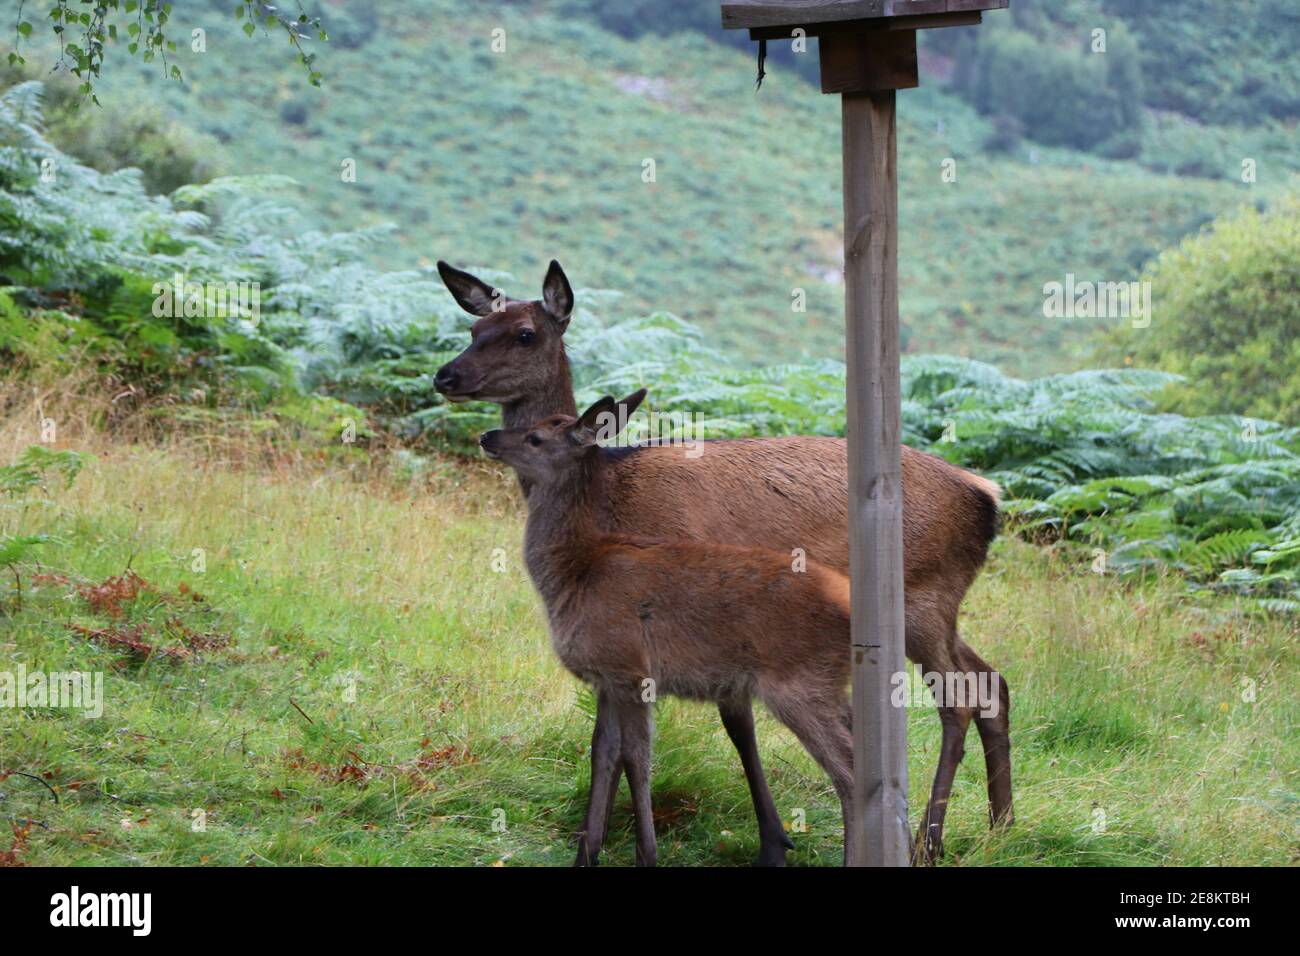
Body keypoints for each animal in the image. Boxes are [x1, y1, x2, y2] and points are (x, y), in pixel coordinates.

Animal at [480, 390, 864, 866]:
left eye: (535, 437)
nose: (487, 436)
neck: (574, 574)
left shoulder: (629, 668)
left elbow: (637, 759)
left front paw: (647, 854)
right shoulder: (607, 678)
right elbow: (605, 753)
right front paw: (587, 854)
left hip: (798, 682)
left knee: (849, 771)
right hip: (828, 684)